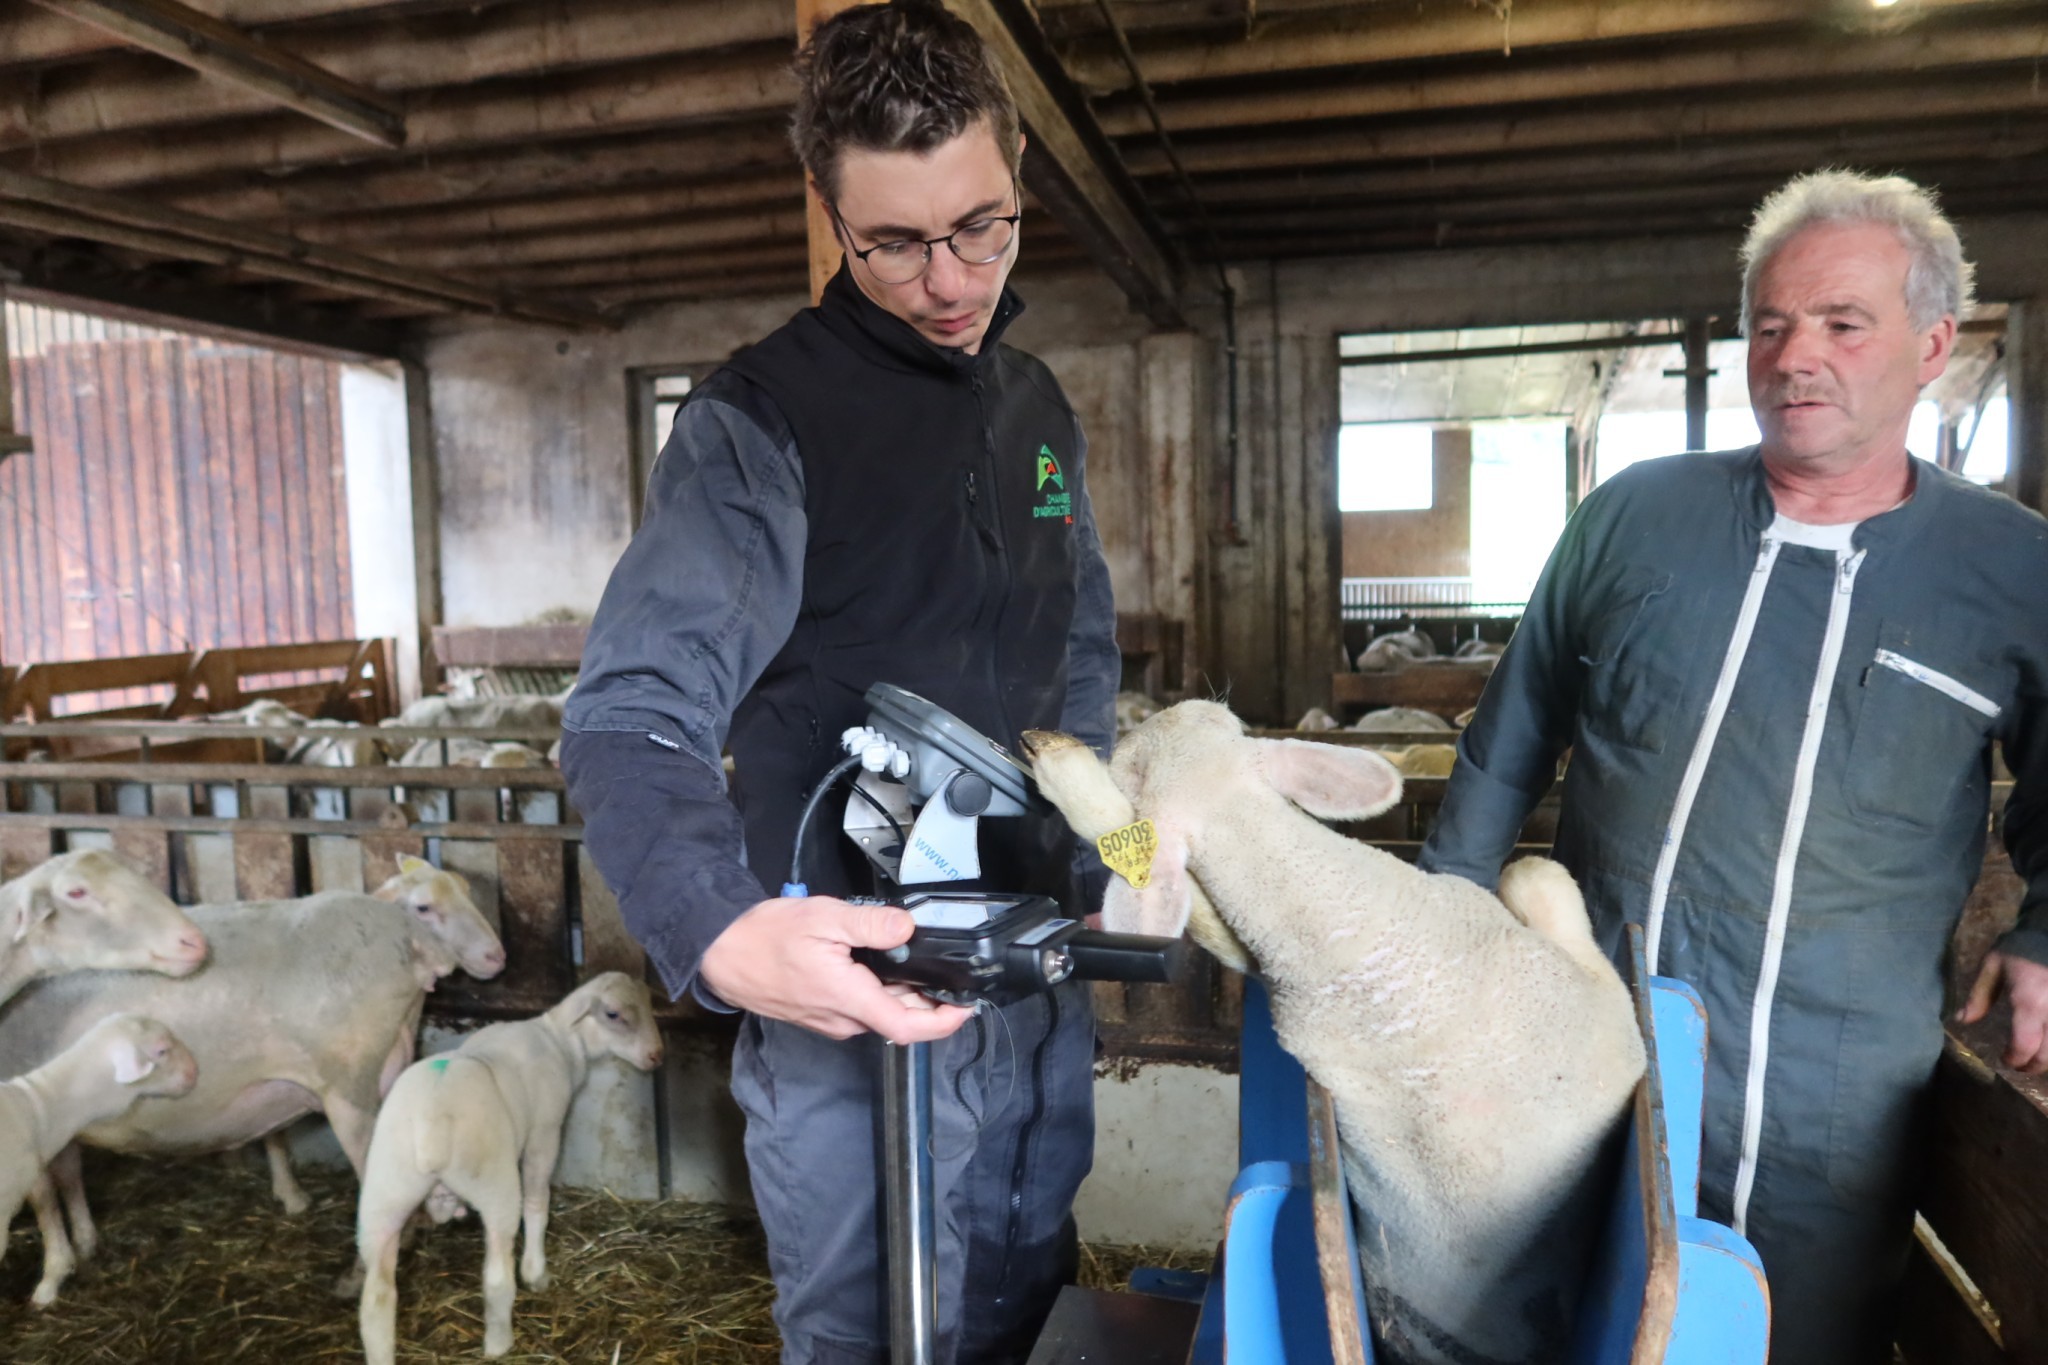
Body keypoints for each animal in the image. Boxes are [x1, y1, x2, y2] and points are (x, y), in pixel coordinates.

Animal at [358, 970, 663, 1365]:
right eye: (613, 1014)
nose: (656, 1055)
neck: (560, 1039)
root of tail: (430, 1123)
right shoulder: (545, 1132)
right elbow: (537, 1203)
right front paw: (536, 1272)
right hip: (493, 1182)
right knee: (498, 1276)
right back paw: (500, 1344)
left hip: (384, 1190)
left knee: (376, 1300)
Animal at [1024, 703, 1646, 1365]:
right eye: (1136, 768)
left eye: (1232, 731)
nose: (1183, 709)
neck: (1375, 940)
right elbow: (1536, 871)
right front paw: (1063, 770)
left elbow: (1535, 870)